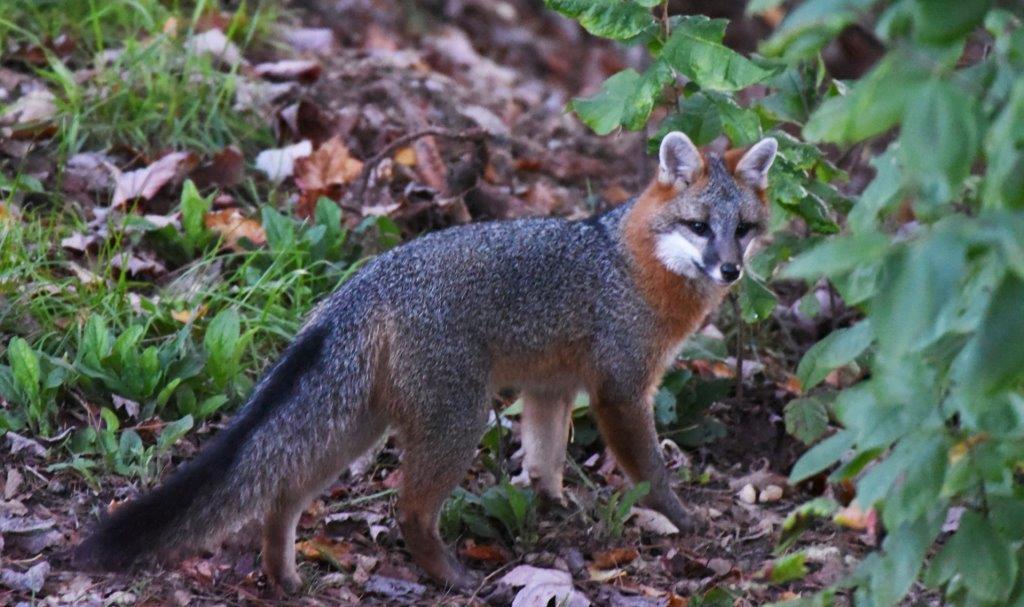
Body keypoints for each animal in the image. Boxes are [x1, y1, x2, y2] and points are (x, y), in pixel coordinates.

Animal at [73, 131, 777, 592]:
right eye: (698, 227)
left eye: (742, 228)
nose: (730, 270)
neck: (632, 263)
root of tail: (369, 279)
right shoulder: (622, 391)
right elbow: (650, 470)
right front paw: (681, 518)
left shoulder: (551, 390)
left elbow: (544, 461)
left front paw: (552, 507)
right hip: (456, 421)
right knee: (407, 511)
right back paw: (451, 577)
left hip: (358, 427)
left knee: (282, 491)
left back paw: (284, 576)